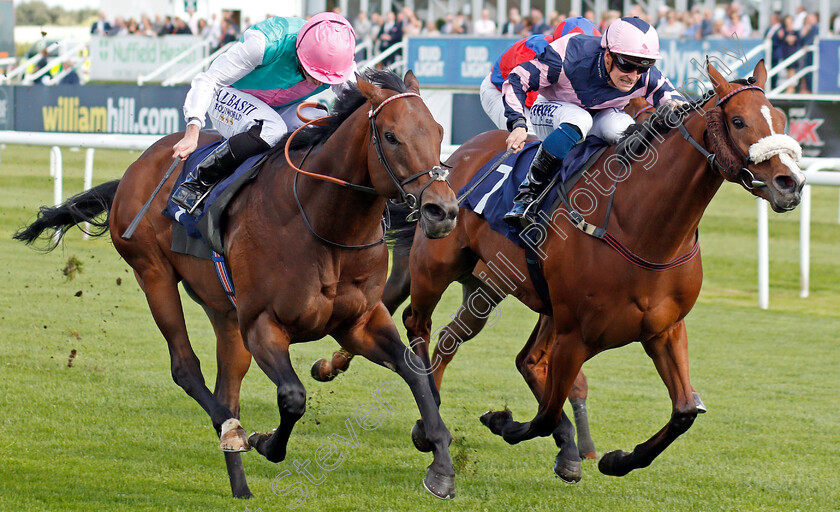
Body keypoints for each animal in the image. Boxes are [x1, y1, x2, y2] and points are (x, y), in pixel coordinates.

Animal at [13, 71, 460, 500]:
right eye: (391, 136)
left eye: (440, 132)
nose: (443, 211)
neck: (323, 224)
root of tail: (133, 170)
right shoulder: (263, 324)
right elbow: (293, 397)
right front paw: (264, 442)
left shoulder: (359, 322)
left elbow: (415, 372)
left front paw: (440, 467)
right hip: (154, 274)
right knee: (186, 369)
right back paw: (232, 431)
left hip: (225, 314)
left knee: (226, 389)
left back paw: (240, 485)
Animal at [398, 62, 804, 482]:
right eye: (738, 121)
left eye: (781, 119)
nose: (790, 183)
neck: (642, 230)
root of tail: (460, 154)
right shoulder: (575, 335)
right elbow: (544, 415)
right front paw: (503, 421)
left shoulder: (664, 330)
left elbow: (684, 412)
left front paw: (616, 459)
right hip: (437, 265)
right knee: (420, 325)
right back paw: (431, 418)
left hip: (498, 285)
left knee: (474, 342)